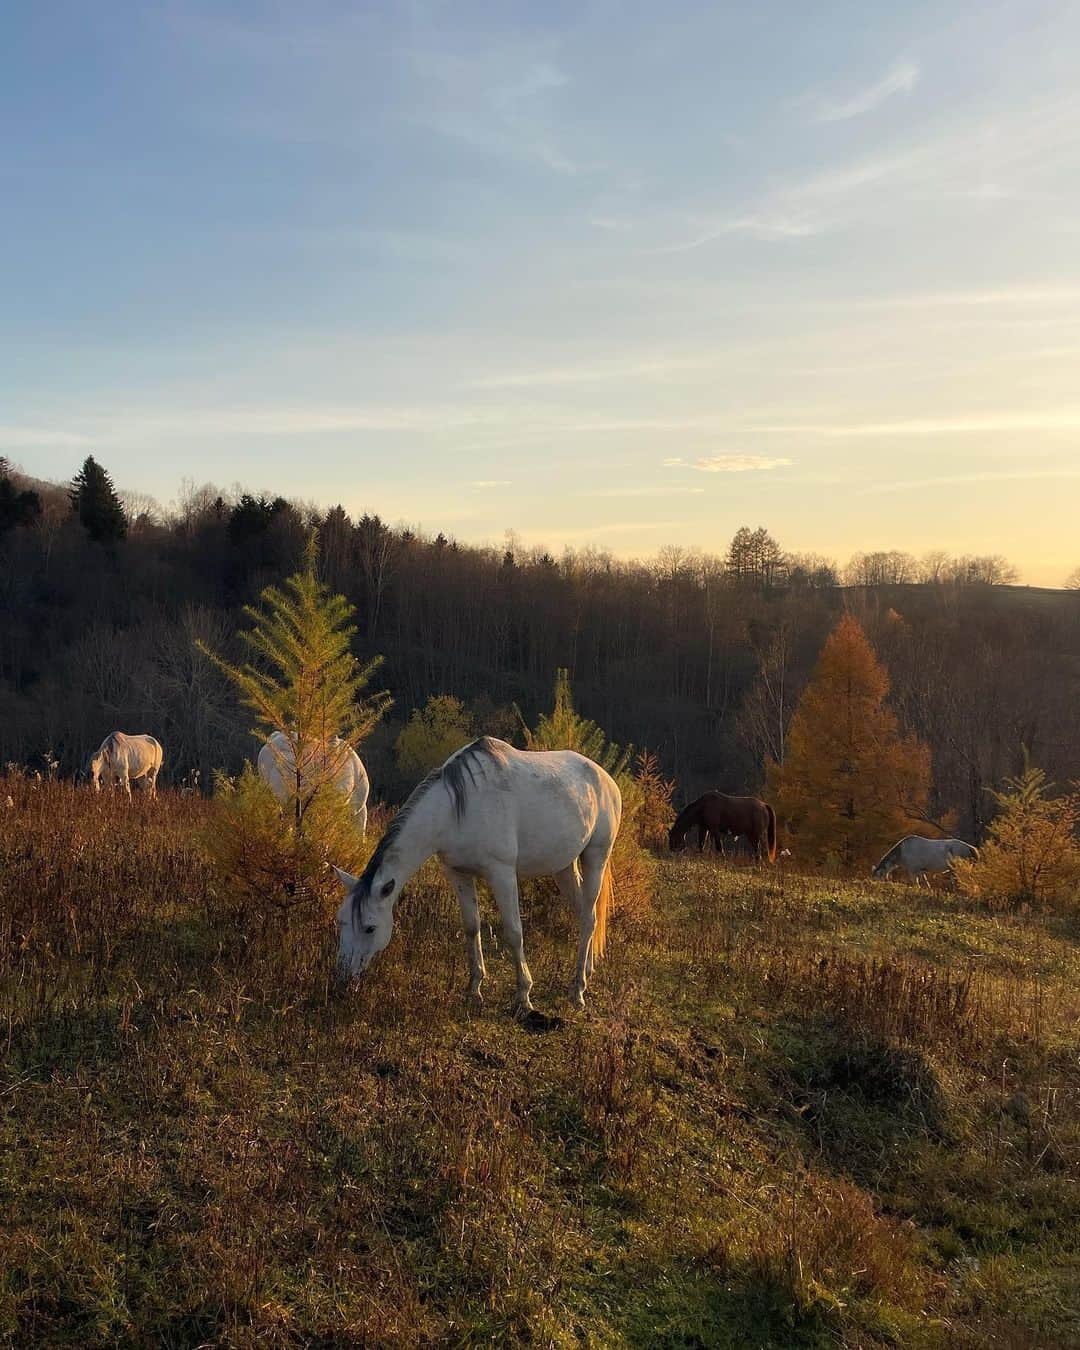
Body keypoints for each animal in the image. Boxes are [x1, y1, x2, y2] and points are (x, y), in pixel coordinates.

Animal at [329, 739, 621, 1015]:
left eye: (370, 927)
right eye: (341, 921)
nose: (342, 978)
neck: (457, 810)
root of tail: (606, 780)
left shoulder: (502, 874)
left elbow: (514, 932)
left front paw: (523, 996)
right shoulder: (458, 873)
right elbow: (471, 927)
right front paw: (474, 988)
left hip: (595, 858)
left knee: (589, 917)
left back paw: (578, 990)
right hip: (563, 867)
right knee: (584, 914)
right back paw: (586, 972)